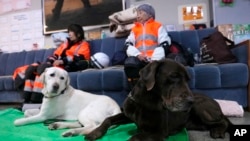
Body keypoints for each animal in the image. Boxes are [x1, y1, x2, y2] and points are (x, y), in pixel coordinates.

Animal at [85, 59, 231, 140]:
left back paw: (218, 131)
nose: (191, 101)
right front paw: (95, 133)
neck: (144, 102)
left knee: (223, 121)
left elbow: (136, 137)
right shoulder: (127, 114)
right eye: (174, 76)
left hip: (200, 108)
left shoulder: (159, 132)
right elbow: (108, 119)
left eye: (188, 80)